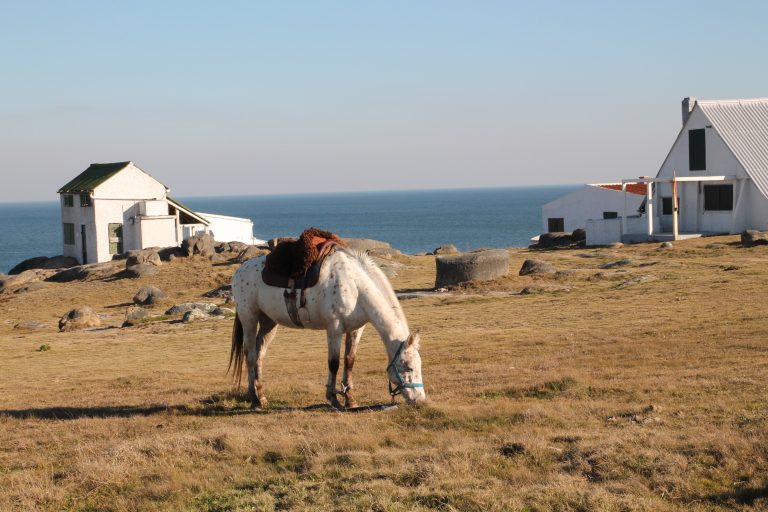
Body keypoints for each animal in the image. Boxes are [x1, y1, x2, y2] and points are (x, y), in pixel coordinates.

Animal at [229, 247, 426, 409]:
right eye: (409, 368)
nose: (421, 400)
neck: (355, 286)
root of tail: (239, 271)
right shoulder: (334, 328)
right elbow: (334, 363)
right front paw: (333, 398)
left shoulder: (356, 329)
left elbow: (349, 360)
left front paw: (350, 399)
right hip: (249, 318)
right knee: (250, 355)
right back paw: (254, 399)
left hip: (269, 322)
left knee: (259, 354)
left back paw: (261, 395)